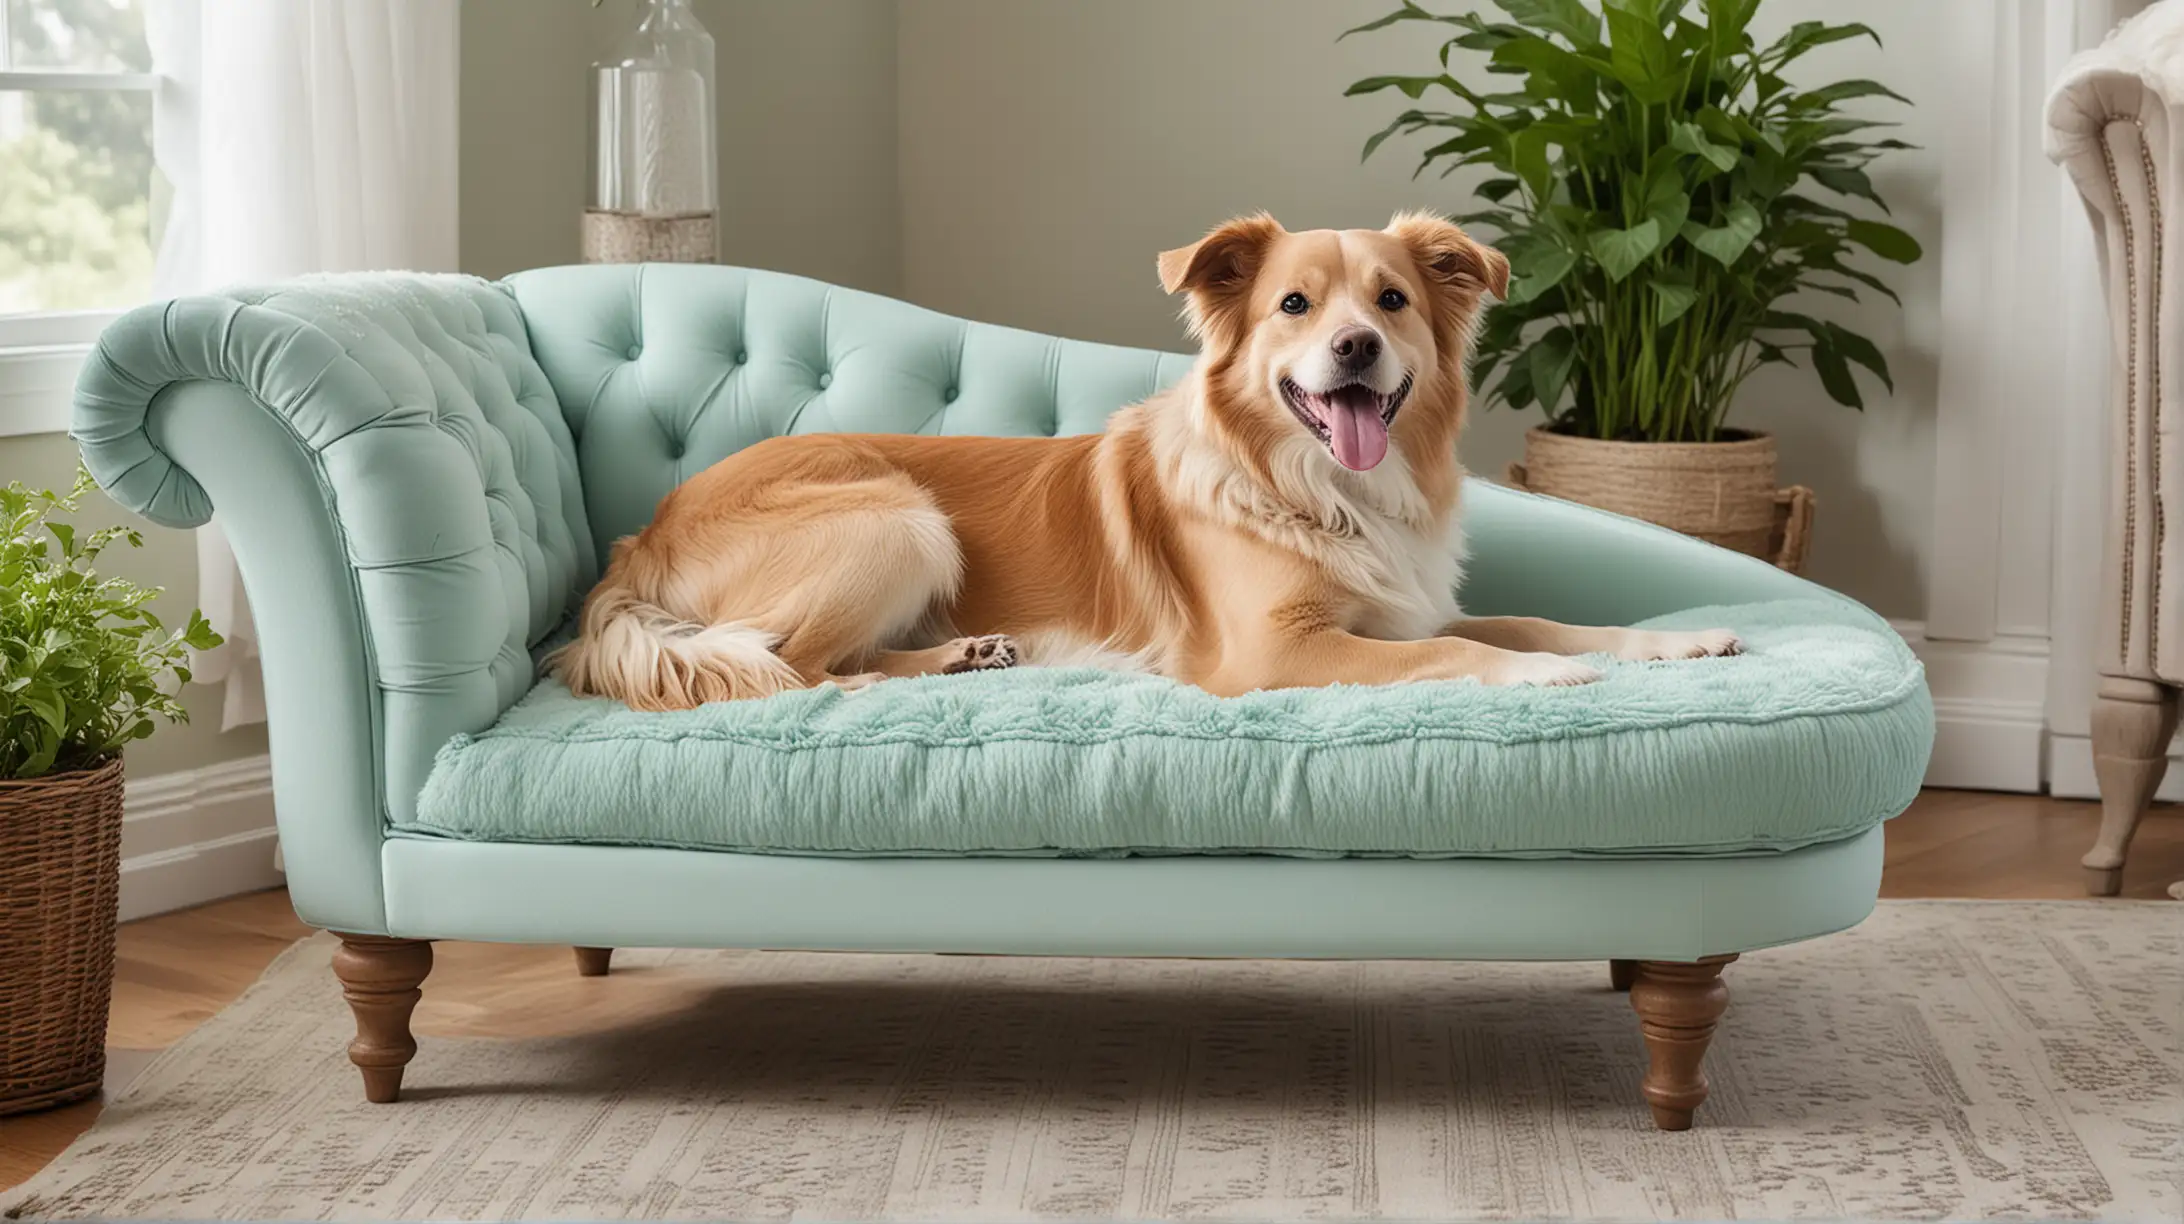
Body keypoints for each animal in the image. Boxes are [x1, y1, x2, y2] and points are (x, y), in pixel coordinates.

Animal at [550, 208, 1738, 708]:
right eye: (1294, 306)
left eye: (1393, 300)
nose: (1355, 347)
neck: (1319, 487)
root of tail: (639, 537)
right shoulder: (1272, 653)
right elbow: (1459, 652)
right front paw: (1547, 674)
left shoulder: (1401, 608)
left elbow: (1526, 619)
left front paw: (1672, 641)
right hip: (898, 515)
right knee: (790, 666)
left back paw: (971, 656)